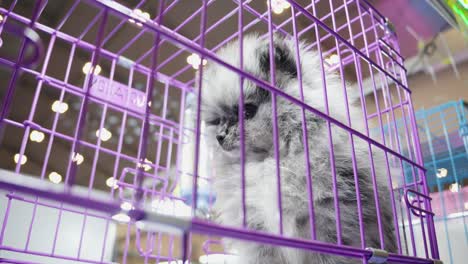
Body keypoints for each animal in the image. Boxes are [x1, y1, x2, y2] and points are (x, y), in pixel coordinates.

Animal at [197, 34, 394, 262]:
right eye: (218, 120)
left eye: (247, 111)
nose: (220, 137)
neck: (270, 159)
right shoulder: (258, 232)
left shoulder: (331, 220)